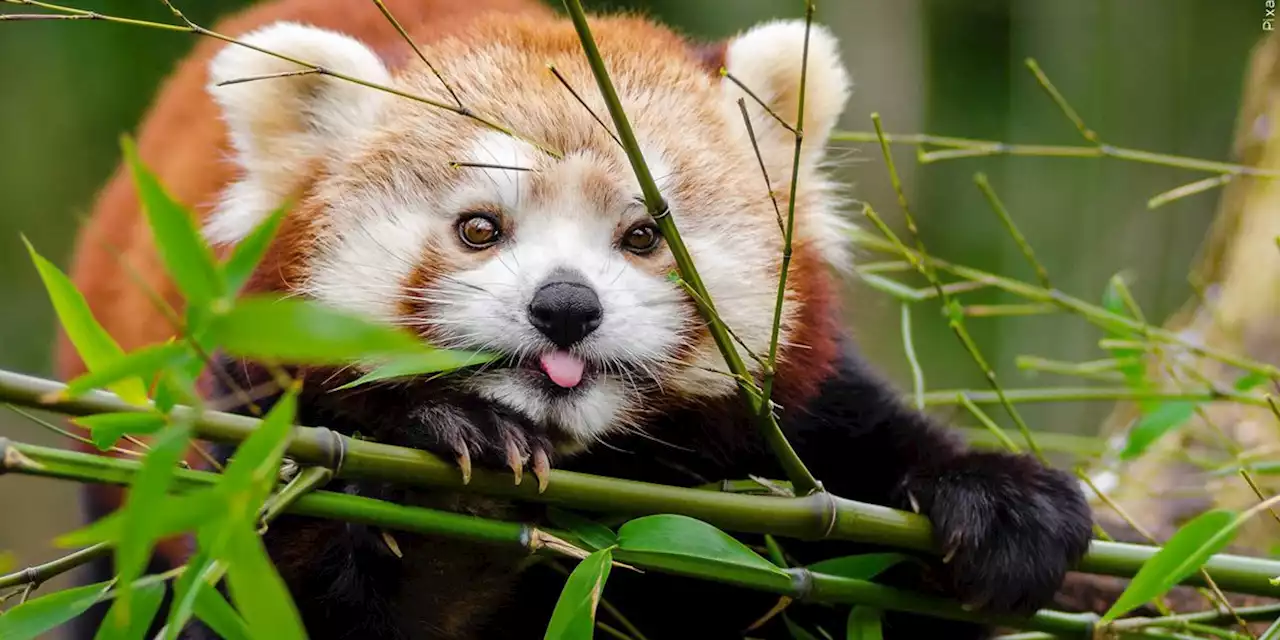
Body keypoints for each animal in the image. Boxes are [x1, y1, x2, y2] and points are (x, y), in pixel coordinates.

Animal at [57, 1, 1090, 640]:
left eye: (644, 235)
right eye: (478, 227)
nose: (565, 306)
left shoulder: (801, 433)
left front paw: (1003, 504)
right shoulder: (247, 445)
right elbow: (261, 589)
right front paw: (455, 480)